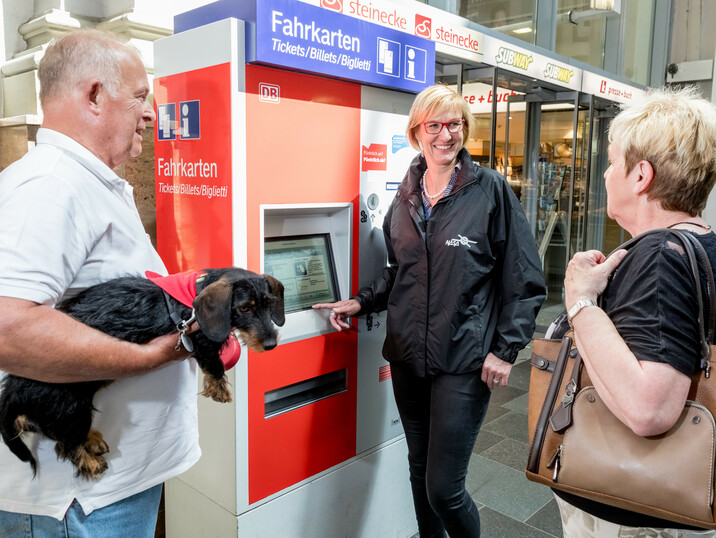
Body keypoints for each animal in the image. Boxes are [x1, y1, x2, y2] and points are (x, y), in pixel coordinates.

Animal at [0, 266, 284, 480]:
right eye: (244, 308)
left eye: (269, 304)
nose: (271, 344)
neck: (191, 296)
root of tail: (13, 389)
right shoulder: (199, 337)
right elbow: (212, 359)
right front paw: (219, 387)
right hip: (69, 407)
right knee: (64, 443)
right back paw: (90, 462)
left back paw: (91, 439)